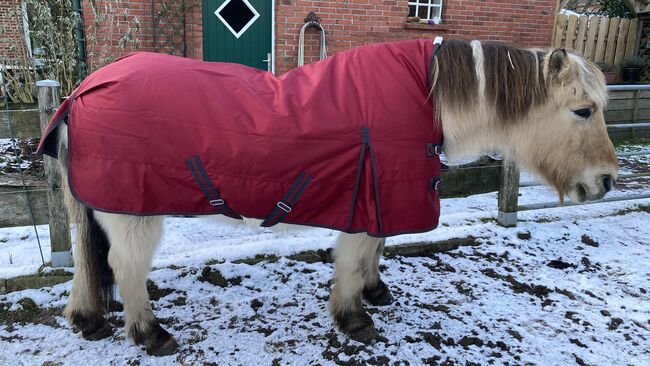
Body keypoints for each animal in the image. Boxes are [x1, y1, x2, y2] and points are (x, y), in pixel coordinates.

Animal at [38, 38, 616, 356]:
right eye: (583, 109)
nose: (607, 182)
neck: (425, 97)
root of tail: (80, 91)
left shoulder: (378, 199)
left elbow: (375, 253)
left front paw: (375, 293)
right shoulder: (368, 202)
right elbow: (355, 262)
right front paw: (354, 319)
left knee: (92, 265)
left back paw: (90, 320)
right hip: (132, 213)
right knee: (125, 267)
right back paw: (149, 334)